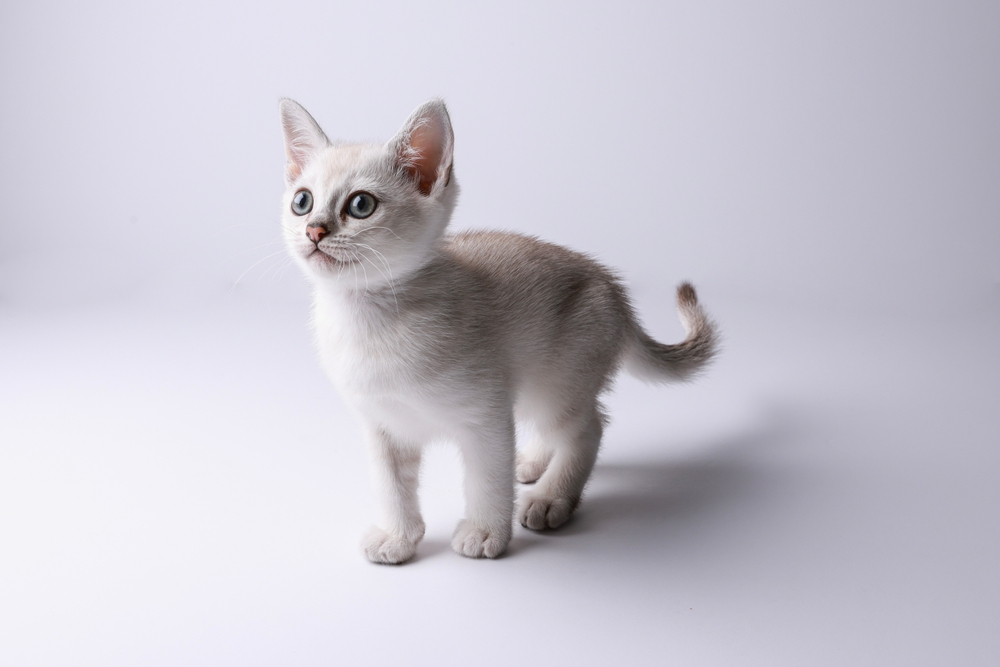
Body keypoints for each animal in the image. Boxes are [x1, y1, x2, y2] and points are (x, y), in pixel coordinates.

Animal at [280, 96, 720, 560]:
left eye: (361, 205)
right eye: (302, 201)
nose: (314, 229)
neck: (369, 321)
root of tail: (612, 287)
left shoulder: (485, 416)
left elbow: (487, 480)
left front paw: (485, 532)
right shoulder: (383, 425)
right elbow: (391, 487)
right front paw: (398, 537)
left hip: (556, 382)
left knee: (589, 427)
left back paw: (552, 498)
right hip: (531, 387)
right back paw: (533, 462)